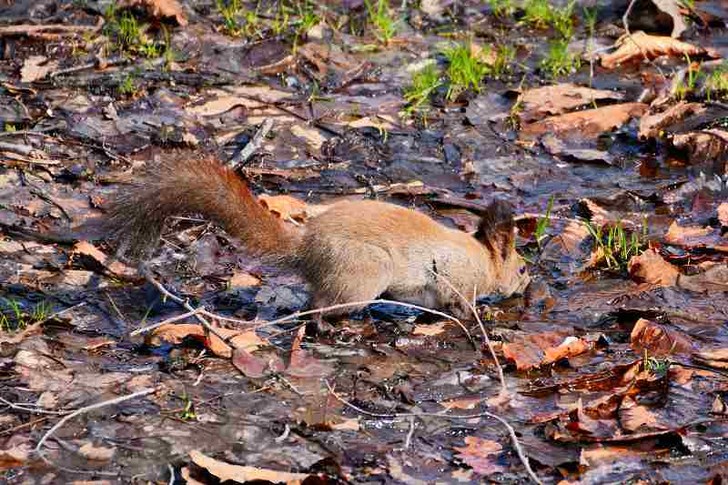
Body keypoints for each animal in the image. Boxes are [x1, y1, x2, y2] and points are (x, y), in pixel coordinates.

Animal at [108, 156, 528, 318]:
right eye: (522, 269)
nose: (528, 285)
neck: (483, 258)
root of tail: (306, 246)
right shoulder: (456, 281)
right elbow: (459, 305)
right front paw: (480, 316)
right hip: (363, 272)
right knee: (319, 306)